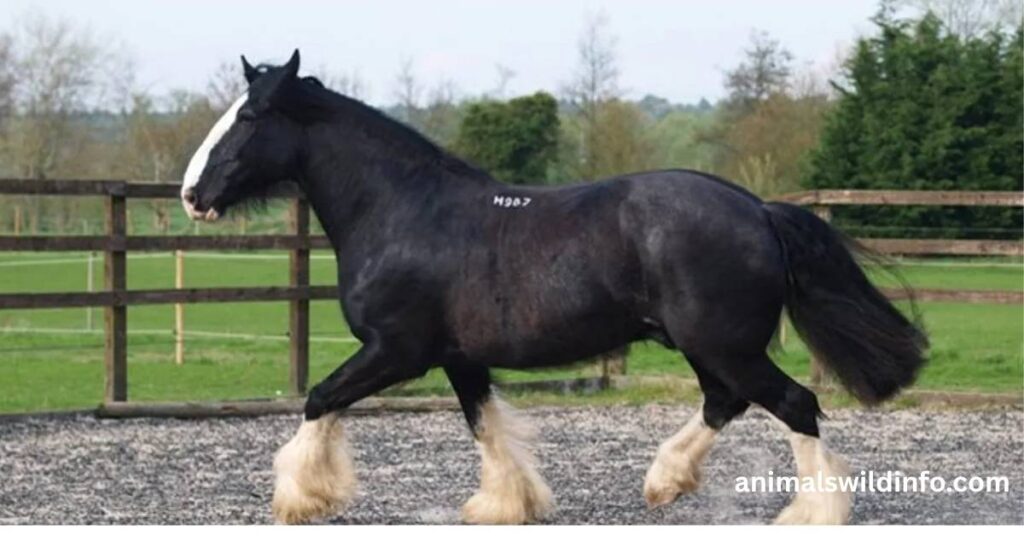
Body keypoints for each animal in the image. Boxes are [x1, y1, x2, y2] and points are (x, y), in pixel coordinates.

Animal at [180, 50, 927, 525]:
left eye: (249, 118)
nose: (193, 195)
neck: (405, 212)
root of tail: (757, 209)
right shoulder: (458, 358)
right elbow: (485, 426)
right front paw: (504, 504)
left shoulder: (396, 352)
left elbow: (319, 399)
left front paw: (301, 498)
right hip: (708, 346)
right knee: (727, 402)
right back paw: (664, 482)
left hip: (724, 344)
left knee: (794, 404)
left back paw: (809, 513)